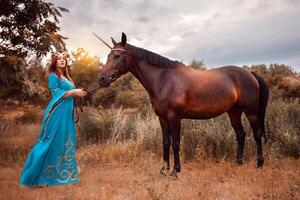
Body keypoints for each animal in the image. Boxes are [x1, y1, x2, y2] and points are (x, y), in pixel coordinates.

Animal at [96, 32, 270, 178]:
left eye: (117, 56)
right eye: (109, 55)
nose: (102, 79)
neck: (164, 79)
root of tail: (250, 74)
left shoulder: (175, 117)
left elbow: (176, 144)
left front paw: (175, 171)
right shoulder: (162, 118)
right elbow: (165, 143)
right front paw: (163, 169)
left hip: (251, 112)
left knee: (257, 134)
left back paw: (259, 164)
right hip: (234, 111)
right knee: (240, 134)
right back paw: (238, 163)